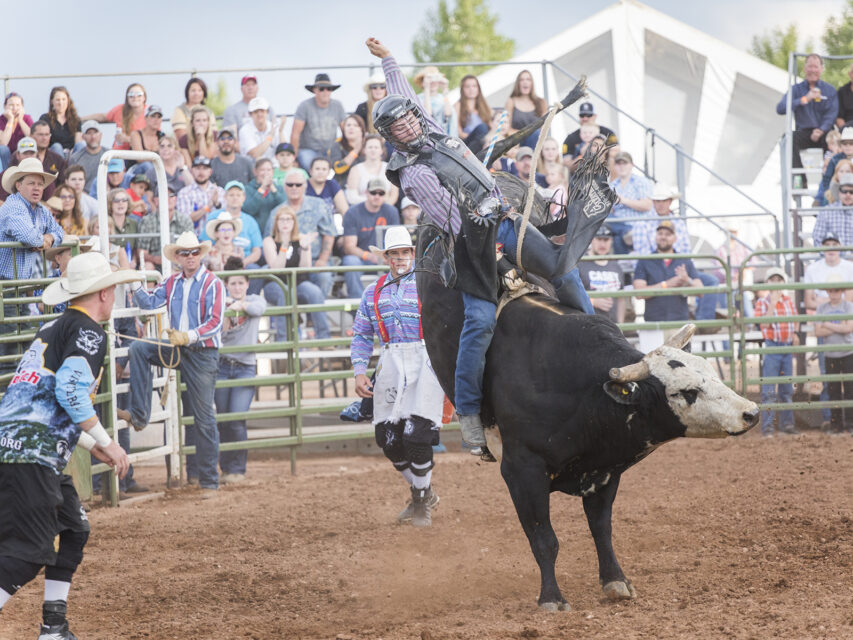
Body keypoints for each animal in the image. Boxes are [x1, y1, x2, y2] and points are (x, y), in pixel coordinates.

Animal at [416, 226, 760, 611]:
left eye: (711, 374)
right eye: (686, 392)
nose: (750, 412)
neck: (574, 384)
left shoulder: (605, 469)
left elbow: (601, 529)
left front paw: (615, 581)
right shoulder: (522, 471)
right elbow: (544, 538)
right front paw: (551, 598)